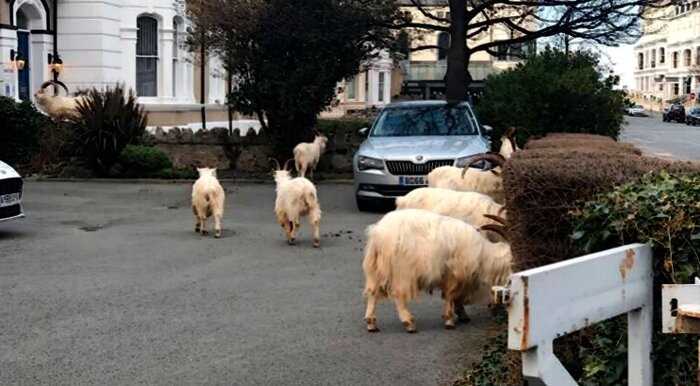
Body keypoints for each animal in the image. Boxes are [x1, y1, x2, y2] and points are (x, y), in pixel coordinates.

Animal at [364, 208, 512, 332]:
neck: (484, 254)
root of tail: (378, 234)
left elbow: (457, 298)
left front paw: (462, 315)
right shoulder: (454, 274)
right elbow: (450, 295)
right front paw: (449, 320)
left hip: (375, 269)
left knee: (372, 292)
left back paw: (371, 323)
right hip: (403, 270)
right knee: (398, 294)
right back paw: (409, 323)